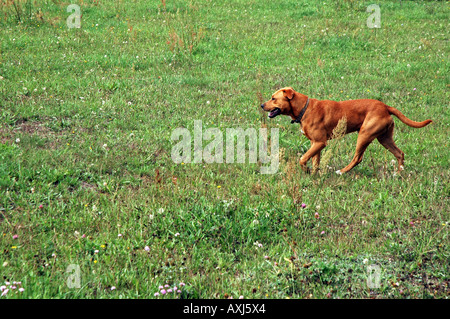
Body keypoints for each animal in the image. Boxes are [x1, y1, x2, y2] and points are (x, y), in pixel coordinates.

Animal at [260, 87, 432, 175]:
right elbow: (315, 161)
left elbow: (302, 159)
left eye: (273, 98)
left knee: (358, 158)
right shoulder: (315, 144)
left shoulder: (320, 143)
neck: (304, 108)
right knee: (399, 153)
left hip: (364, 135)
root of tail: (385, 107)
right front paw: (314, 174)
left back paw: (341, 171)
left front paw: (307, 170)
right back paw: (399, 172)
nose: (261, 105)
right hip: (384, 138)